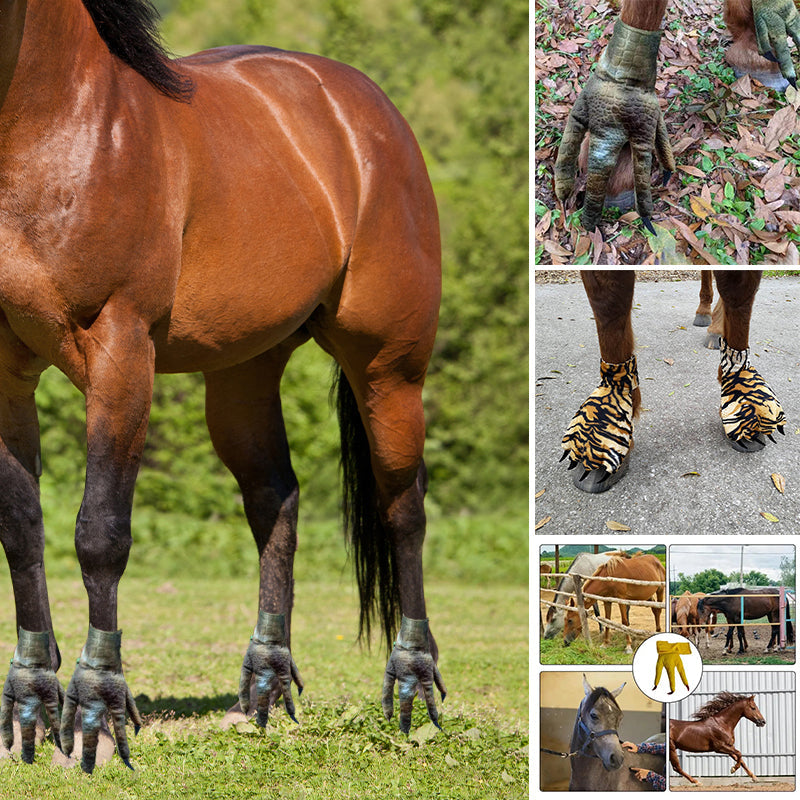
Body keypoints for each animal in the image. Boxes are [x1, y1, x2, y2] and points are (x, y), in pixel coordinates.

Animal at [0, 0, 445, 774]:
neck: (58, 127)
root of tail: (367, 110)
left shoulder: (121, 355)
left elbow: (100, 533)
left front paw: (97, 709)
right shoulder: (2, 367)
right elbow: (22, 525)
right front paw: (31, 702)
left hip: (390, 367)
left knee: (403, 509)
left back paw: (411, 681)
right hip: (243, 372)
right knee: (276, 498)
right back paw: (264, 683)